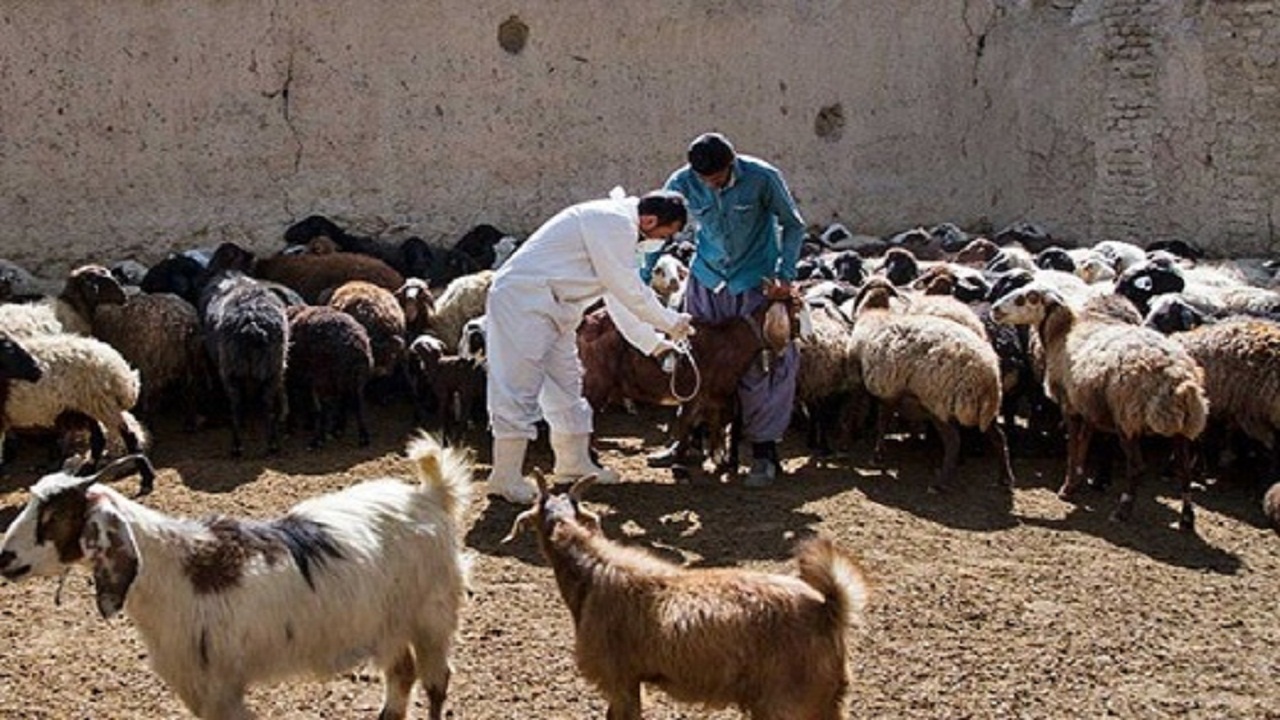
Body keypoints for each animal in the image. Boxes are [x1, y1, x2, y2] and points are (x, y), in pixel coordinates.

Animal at [0, 330, 152, 486]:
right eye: (8, 348)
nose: (38, 370)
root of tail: (119, 367)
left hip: (101, 402)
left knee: (129, 436)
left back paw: (147, 477)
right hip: (84, 406)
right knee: (99, 439)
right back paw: (87, 471)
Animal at [0, 430, 471, 717]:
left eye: (54, 517)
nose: (5, 556)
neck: (177, 570)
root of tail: (432, 494)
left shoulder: (219, 689)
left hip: (432, 616)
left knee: (436, 680)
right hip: (388, 622)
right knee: (402, 672)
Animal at [286, 303, 373, 448]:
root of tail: (354, 344)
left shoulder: (295, 374)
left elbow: (296, 397)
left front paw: (294, 425)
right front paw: (308, 423)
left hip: (326, 376)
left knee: (326, 404)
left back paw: (318, 439)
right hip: (356, 376)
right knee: (356, 402)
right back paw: (358, 435)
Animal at [988, 283, 1208, 530]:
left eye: (1028, 298)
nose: (995, 309)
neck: (1063, 333)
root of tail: (1181, 381)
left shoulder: (1070, 405)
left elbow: (1073, 447)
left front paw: (1066, 488)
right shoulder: (1088, 406)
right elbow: (1084, 442)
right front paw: (1075, 484)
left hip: (1127, 417)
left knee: (1137, 467)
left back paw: (1123, 510)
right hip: (1182, 425)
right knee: (1184, 469)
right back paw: (1187, 518)